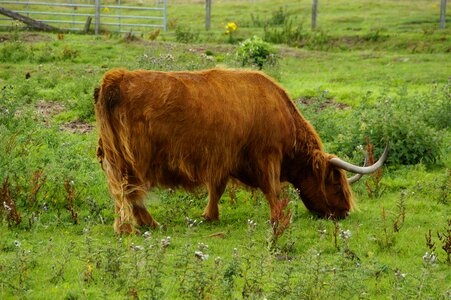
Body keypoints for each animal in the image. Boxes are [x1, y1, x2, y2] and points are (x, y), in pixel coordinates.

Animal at [94, 68, 388, 234]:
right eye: (336, 185)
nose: (343, 213)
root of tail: (115, 77)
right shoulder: (267, 156)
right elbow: (273, 189)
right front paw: (279, 219)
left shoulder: (223, 160)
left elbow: (217, 189)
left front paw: (210, 216)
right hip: (131, 159)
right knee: (127, 190)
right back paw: (131, 228)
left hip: (113, 156)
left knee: (127, 193)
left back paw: (144, 224)